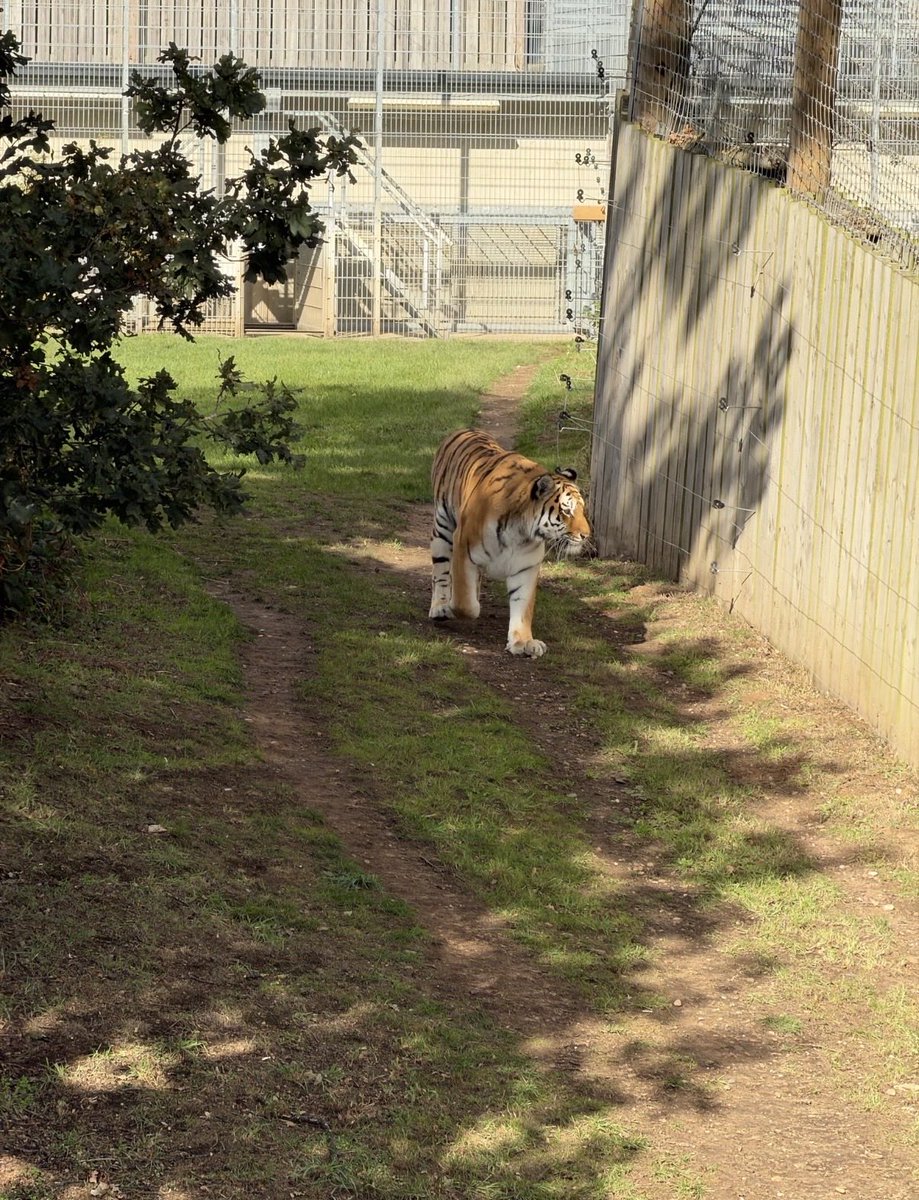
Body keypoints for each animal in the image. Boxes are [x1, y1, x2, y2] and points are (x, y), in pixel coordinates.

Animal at [429, 428, 591, 657]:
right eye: (567, 510)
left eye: (582, 509)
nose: (586, 535)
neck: (520, 531)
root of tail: (465, 429)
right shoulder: (463, 547)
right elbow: (466, 604)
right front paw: (454, 607)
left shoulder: (526, 567)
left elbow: (522, 606)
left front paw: (523, 642)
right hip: (443, 529)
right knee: (441, 572)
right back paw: (440, 607)